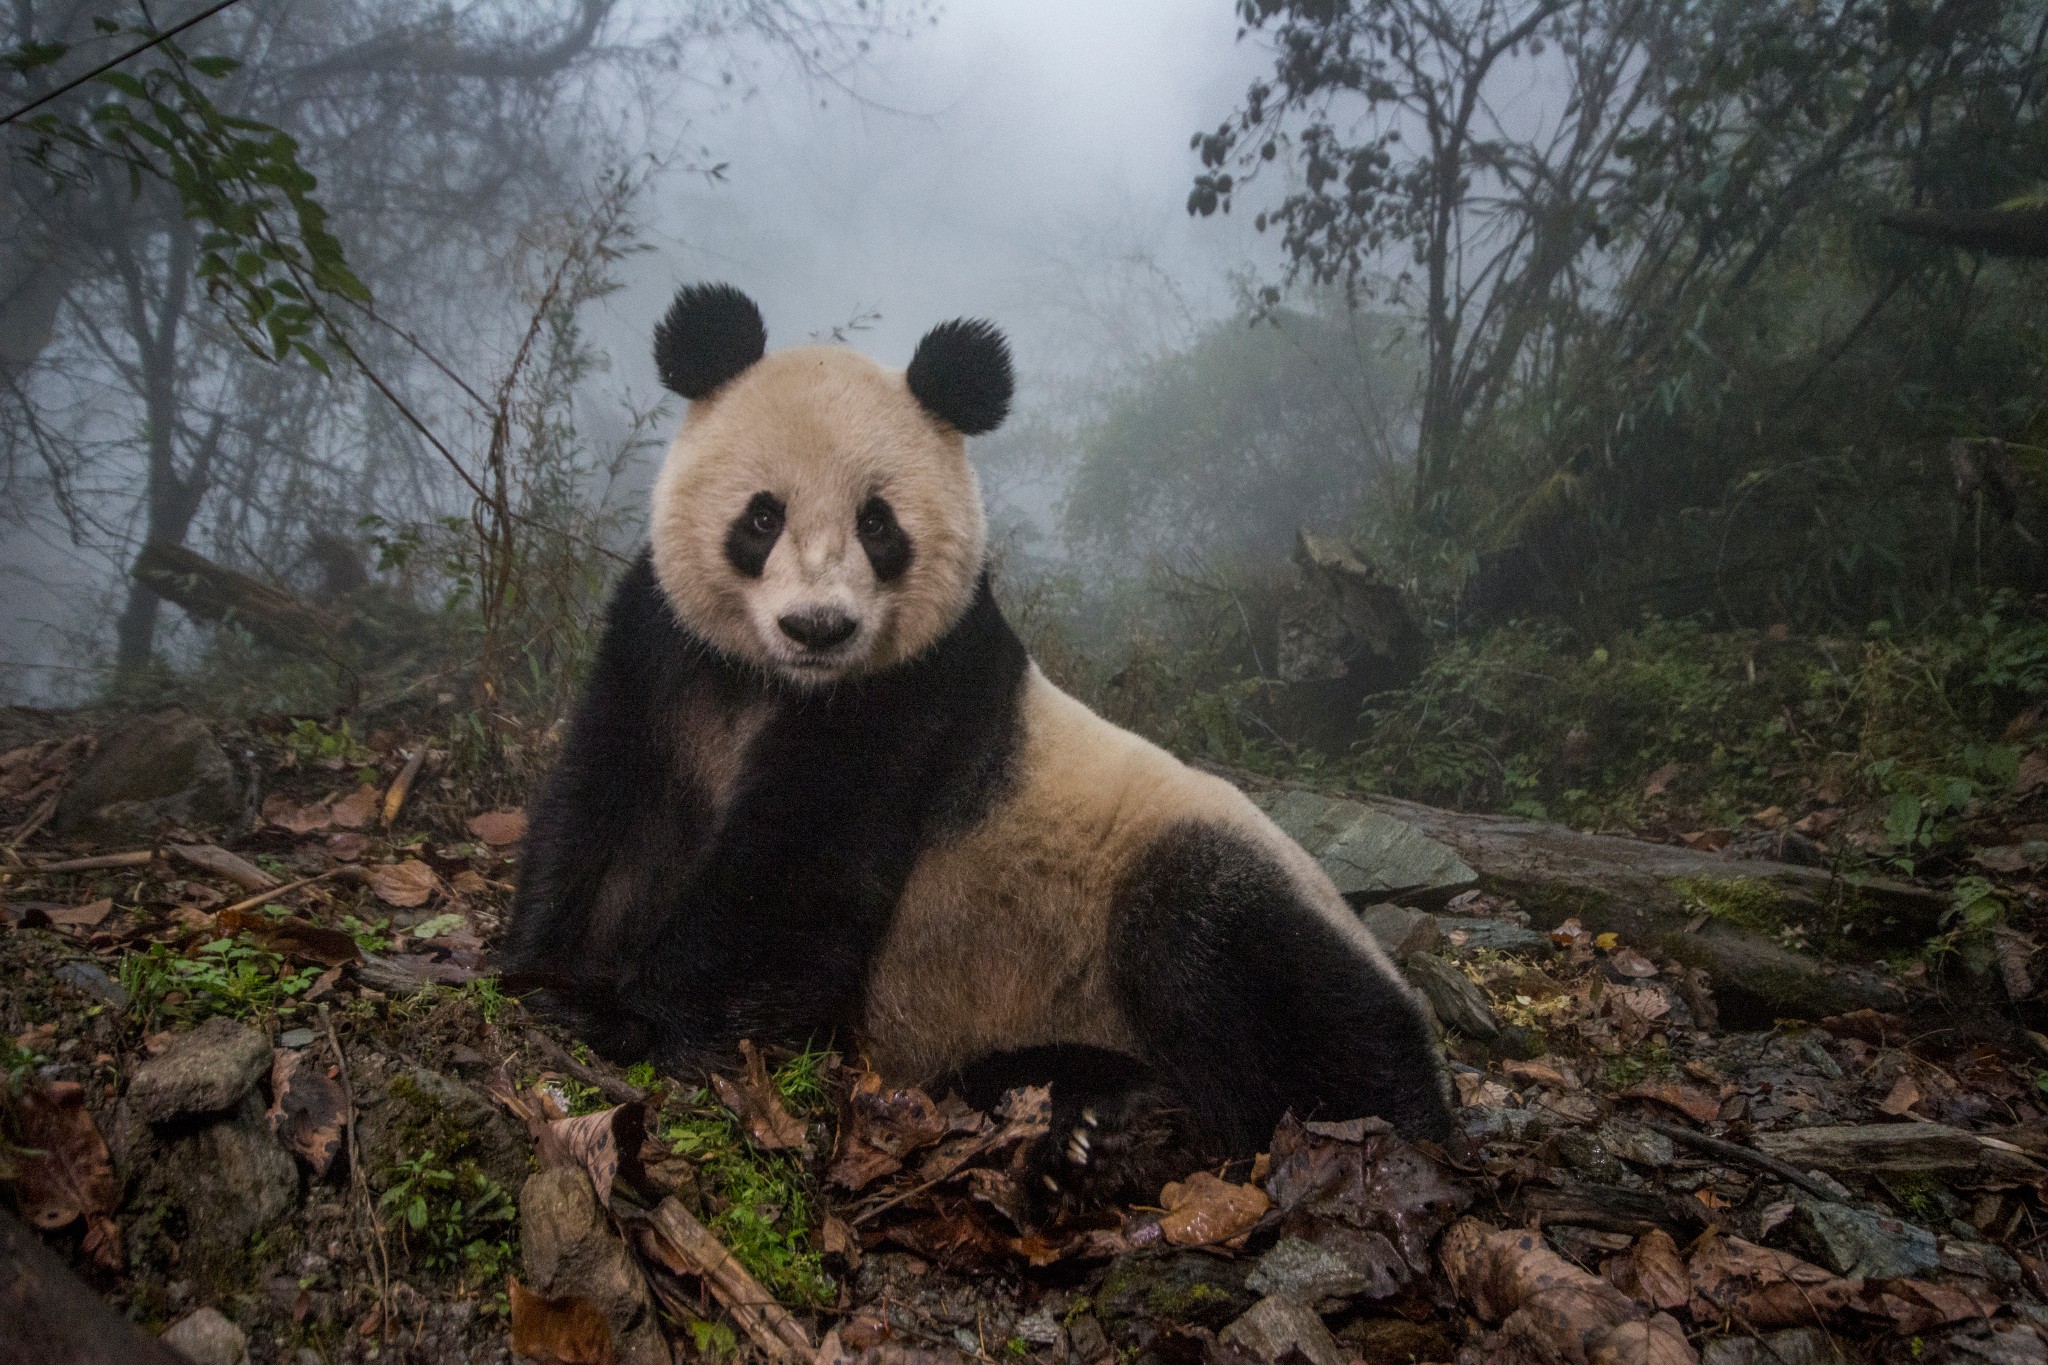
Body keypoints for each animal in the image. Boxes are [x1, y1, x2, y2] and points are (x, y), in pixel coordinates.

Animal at [504, 283, 1451, 1201]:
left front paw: (626, 1013)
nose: (818, 626)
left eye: (879, 524)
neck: (778, 683)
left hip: (1203, 876)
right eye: (762, 517)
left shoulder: (914, 692)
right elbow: (606, 808)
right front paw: (541, 968)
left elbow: (797, 874)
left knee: (1248, 969)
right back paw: (1094, 1114)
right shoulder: (662, 648)